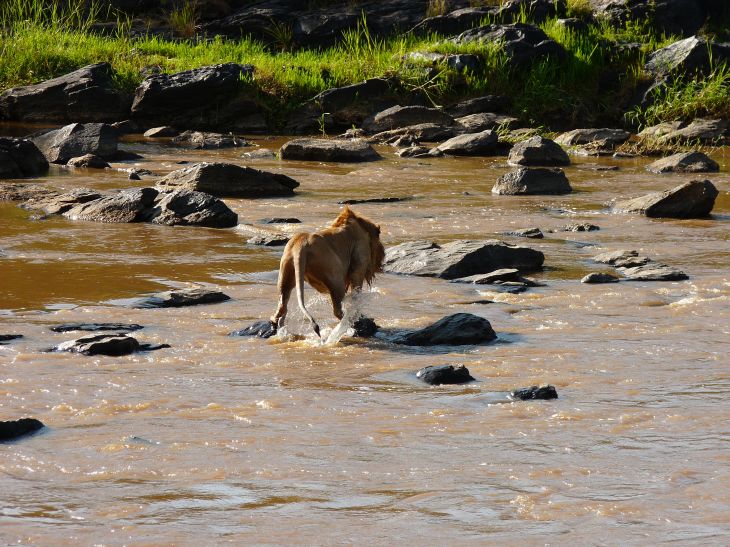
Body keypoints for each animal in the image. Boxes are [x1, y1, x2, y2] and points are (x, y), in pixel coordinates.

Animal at [270, 206, 385, 338]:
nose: (383, 256)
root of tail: (300, 246)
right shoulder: (359, 264)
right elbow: (355, 296)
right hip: (336, 276)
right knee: (337, 311)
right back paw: (356, 323)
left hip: (286, 275)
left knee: (282, 306)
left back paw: (277, 325)